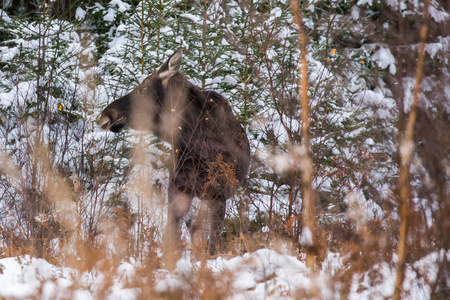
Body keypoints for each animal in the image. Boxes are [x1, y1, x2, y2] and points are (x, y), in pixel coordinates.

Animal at [99, 49, 251, 255]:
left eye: (142, 89)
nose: (106, 115)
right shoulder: (178, 189)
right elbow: (171, 236)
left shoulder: (218, 194)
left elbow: (213, 244)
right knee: (195, 229)